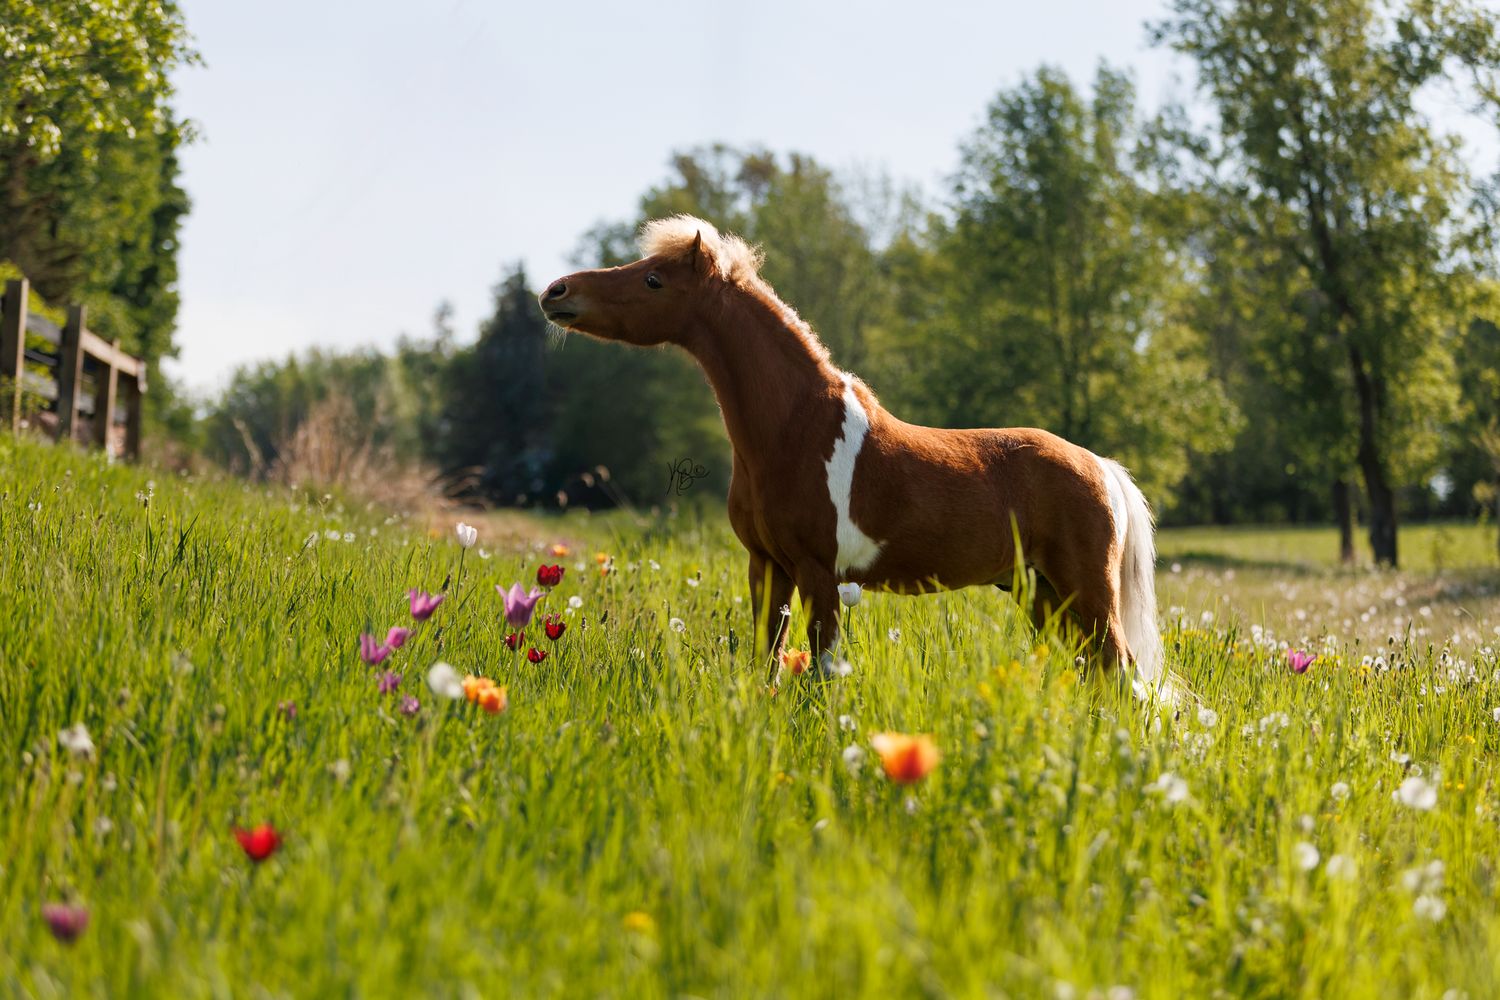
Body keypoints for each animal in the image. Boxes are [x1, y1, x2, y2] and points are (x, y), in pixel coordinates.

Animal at [540, 215, 1169, 699]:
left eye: (652, 279)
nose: (556, 293)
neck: (794, 429)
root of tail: (1101, 468)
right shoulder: (767, 567)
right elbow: (767, 664)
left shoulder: (818, 573)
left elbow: (821, 675)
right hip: (1040, 593)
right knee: (1099, 673)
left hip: (1086, 592)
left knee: (1124, 674)